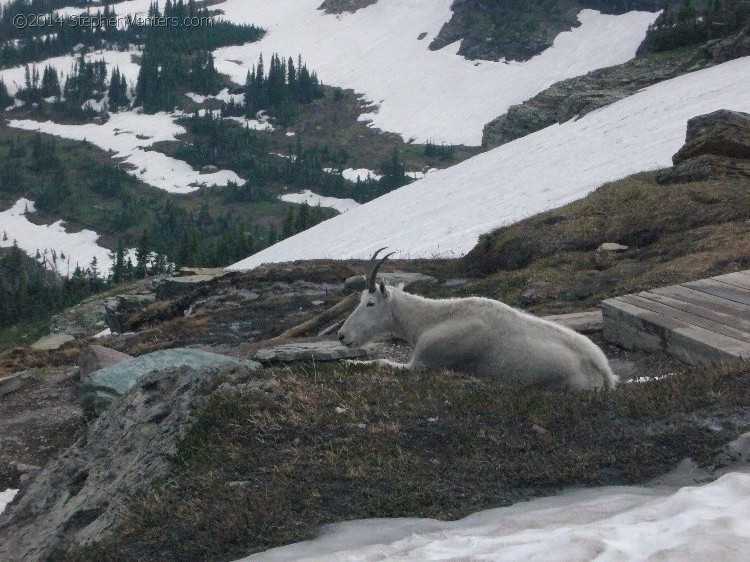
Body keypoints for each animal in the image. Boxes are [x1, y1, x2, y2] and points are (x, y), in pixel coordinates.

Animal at [340, 247, 616, 388]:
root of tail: (604, 373)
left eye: (370, 303)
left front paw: (349, 363)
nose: (343, 336)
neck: (432, 319)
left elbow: (380, 362)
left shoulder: (422, 364)